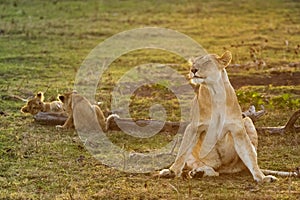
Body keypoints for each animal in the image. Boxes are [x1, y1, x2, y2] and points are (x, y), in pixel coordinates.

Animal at [159, 50, 276, 182]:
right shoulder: (193, 127)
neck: (215, 93)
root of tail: (222, 168)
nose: (193, 69)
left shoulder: (238, 129)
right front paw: (171, 172)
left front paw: (262, 178)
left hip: (247, 120)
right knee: (211, 170)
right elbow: (182, 153)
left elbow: (249, 155)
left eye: (206, 62)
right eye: (194, 63)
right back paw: (198, 172)